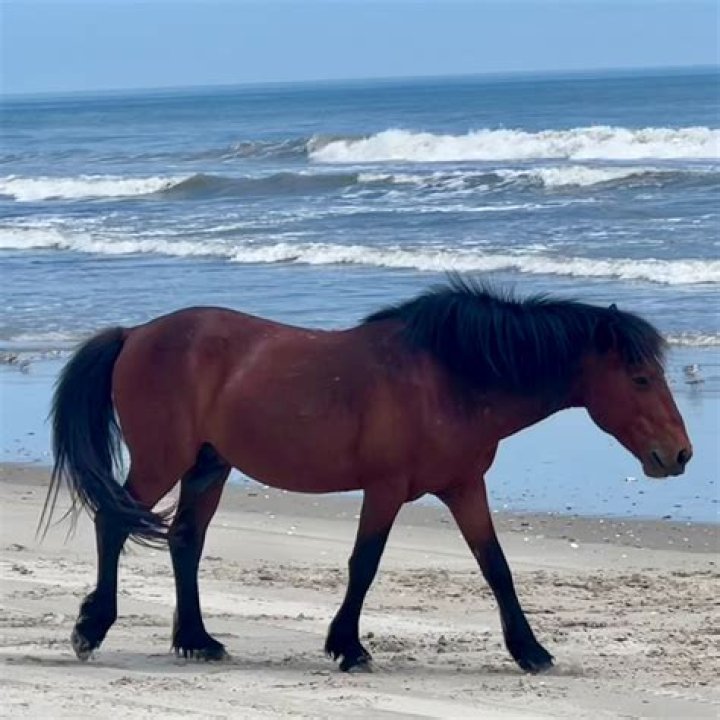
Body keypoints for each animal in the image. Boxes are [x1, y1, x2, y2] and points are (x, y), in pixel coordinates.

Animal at [43, 277, 691, 673]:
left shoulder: (464, 488)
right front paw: (348, 648)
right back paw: (91, 629)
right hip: (163, 462)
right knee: (113, 524)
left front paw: (530, 651)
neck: (449, 378)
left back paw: (197, 640)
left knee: (184, 541)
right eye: (640, 379)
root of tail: (134, 334)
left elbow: (496, 567)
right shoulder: (384, 490)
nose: (679, 454)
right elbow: (365, 564)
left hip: (209, 467)